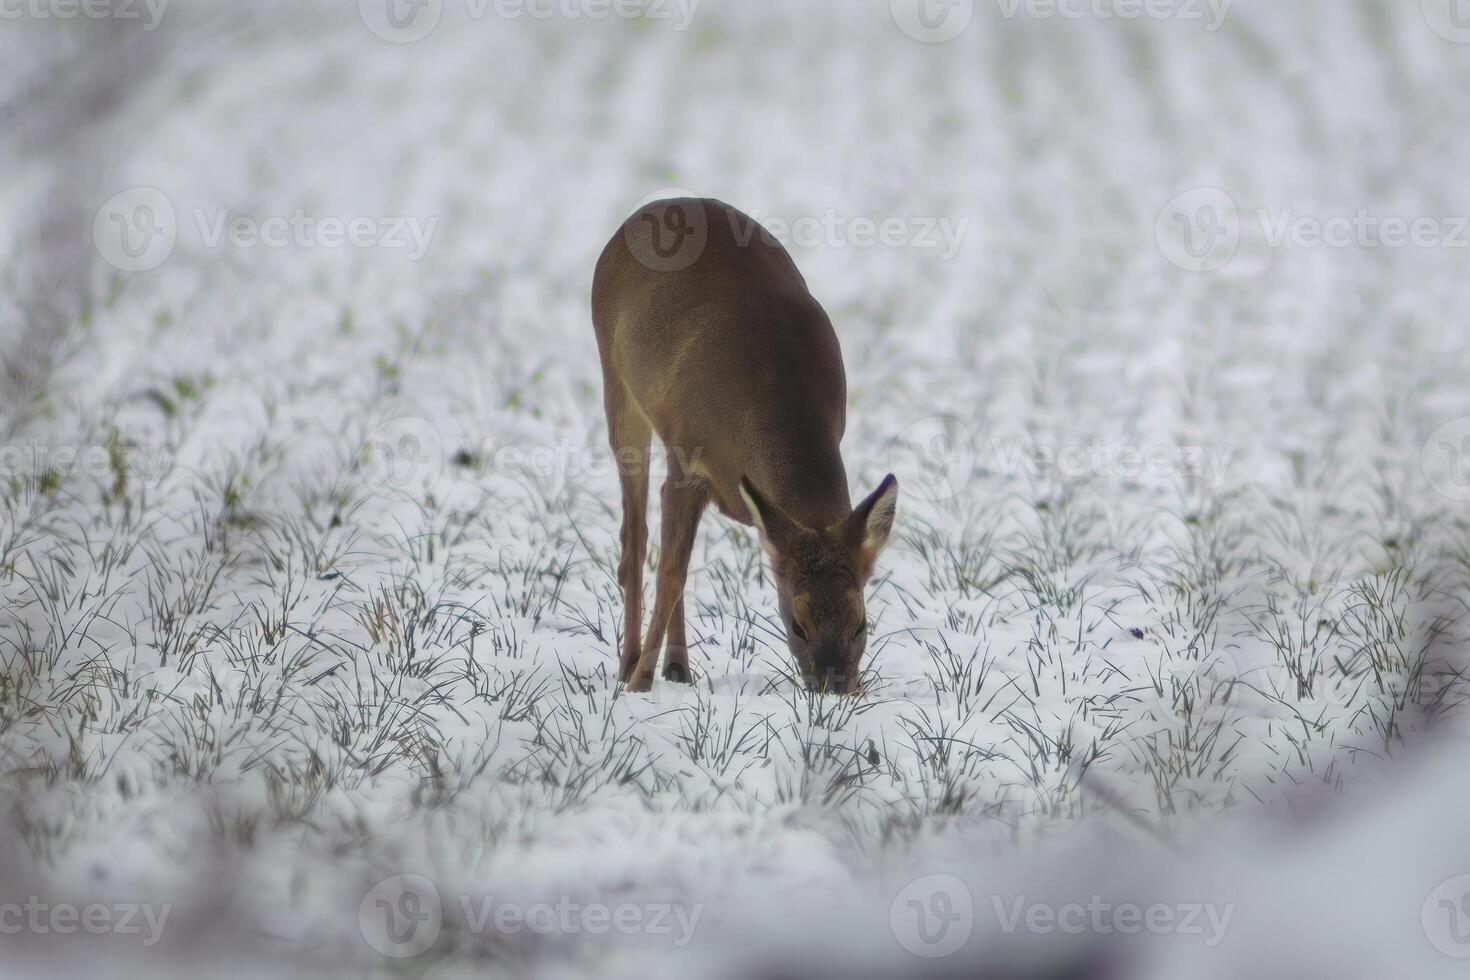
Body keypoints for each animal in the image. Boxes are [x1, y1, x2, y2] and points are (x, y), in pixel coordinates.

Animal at [593, 195, 893, 693]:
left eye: (861, 624)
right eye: (798, 625)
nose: (836, 687)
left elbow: (679, 569)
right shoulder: (688, 458)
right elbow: (670, 573)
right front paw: (639, 683)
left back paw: (677, 669)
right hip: (617, 385)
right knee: (634, 537)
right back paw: (630, 663)